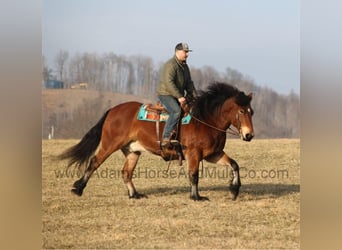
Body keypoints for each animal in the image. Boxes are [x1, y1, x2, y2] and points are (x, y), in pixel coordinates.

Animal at [59, 82, 254, 201]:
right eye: (241, 111)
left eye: (251, 111)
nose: (249, 135)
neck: (204, 119)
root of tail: (113, 110)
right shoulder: (193, 154)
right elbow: (194, 175)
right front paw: (196, 197)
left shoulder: (213, 154)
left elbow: (234, 165)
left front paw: (234, 189)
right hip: (110, 144)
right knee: (94, 162)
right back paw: (78, 188)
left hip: (132, 151)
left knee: (126, 172)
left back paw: (134, 194)